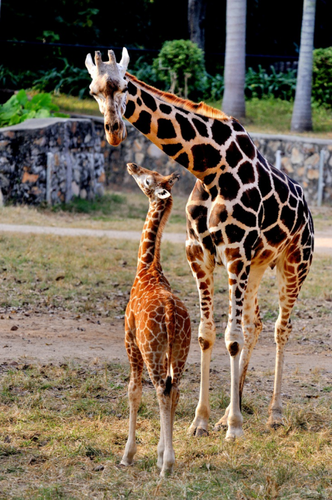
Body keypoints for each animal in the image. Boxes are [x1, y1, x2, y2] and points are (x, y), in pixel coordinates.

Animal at [85, 47, 314, 438]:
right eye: (93, 91)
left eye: (124, 86)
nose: (114, 131)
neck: (210, 167)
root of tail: (309, 211)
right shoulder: (200, 253)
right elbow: (208, 334)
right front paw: (203, 420)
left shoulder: (235, 252)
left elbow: (231, 337)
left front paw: (234, 428)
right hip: (257, 265)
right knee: (255, 324)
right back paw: (231, 410)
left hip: (294, 263)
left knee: (280, 328)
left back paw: (274, 414)